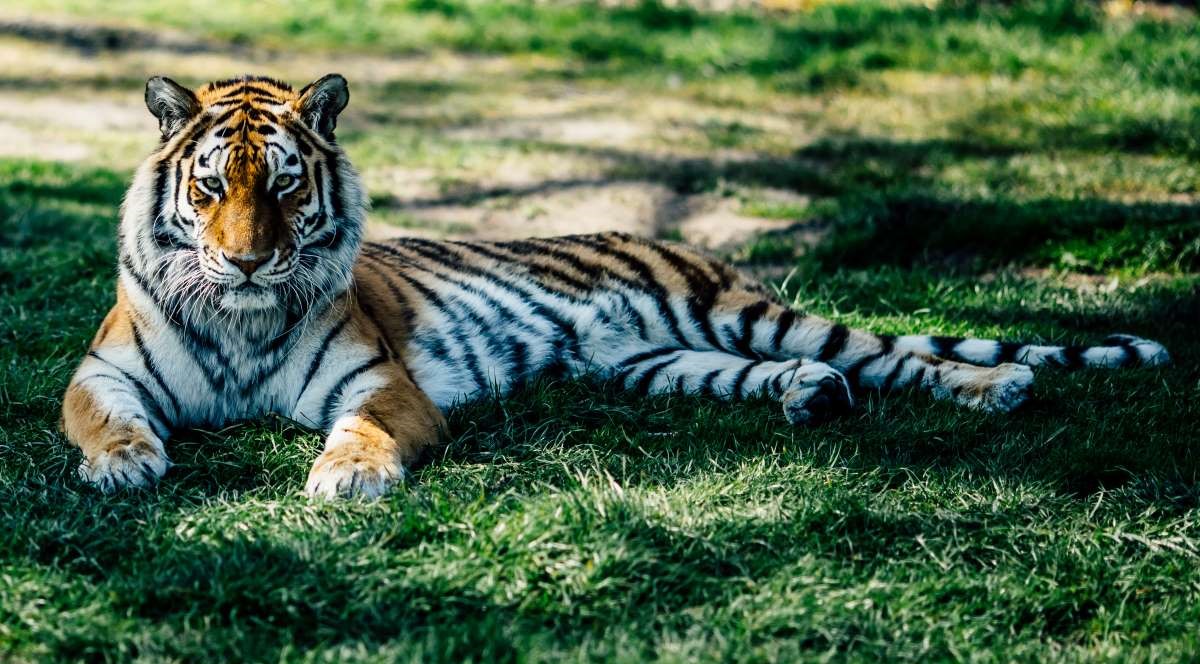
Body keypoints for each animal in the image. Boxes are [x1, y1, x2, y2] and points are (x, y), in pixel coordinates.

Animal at [58, 72, 1171, 497]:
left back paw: (996, 386)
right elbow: (107, 418)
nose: (248, 260)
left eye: (285, 188)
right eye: (211, 189)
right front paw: (124, 465)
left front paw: (347, 478)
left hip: (739, 309)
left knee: (897, 354)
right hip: (659, 361)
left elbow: (363, 430)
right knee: (793, 375)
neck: (242, 318)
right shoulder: (102, 372)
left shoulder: (380, 383)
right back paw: (811, 401)